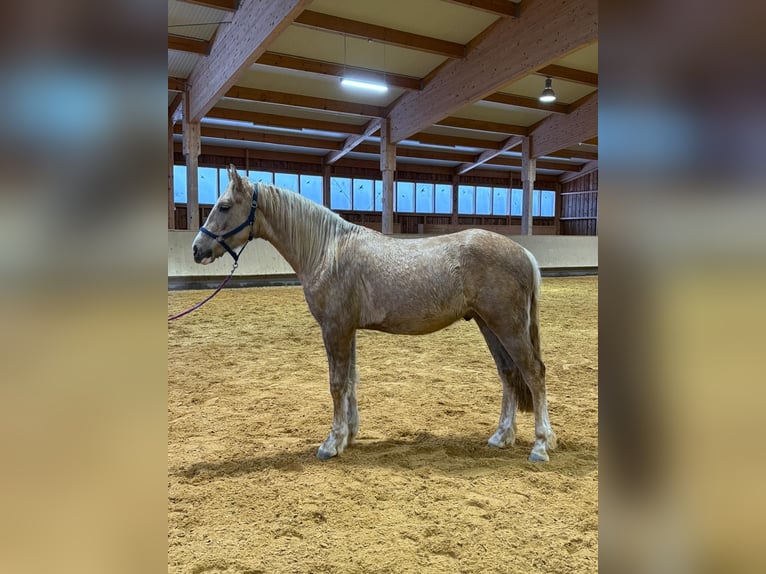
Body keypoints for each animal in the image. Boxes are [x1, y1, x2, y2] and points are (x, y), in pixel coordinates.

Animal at [192, 165, 557, 462]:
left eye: (224, 206)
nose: (197, 249)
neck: (327, 251)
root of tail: (523, 253)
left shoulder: (335, 328)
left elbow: (337, 383)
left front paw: (331, 443)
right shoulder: (347, 329)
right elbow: (351, 380)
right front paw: (349, 436)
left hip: (507, 326)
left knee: (533, 372)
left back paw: (541, 445)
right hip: (489, 325)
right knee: (509, 374)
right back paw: (501, 436)